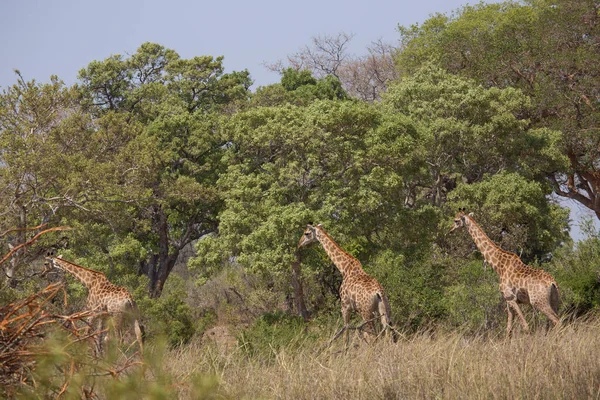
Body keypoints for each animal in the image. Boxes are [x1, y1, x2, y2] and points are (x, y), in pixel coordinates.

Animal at [452, 209, 560, 338]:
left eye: (456, 221)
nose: (450, 230)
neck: (499, 266)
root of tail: (552, 283)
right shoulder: (509, 301)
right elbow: (508, 330)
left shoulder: (510, 298)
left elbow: (525, 327)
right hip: (554, 301)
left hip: (538, 302)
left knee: (556, 321)